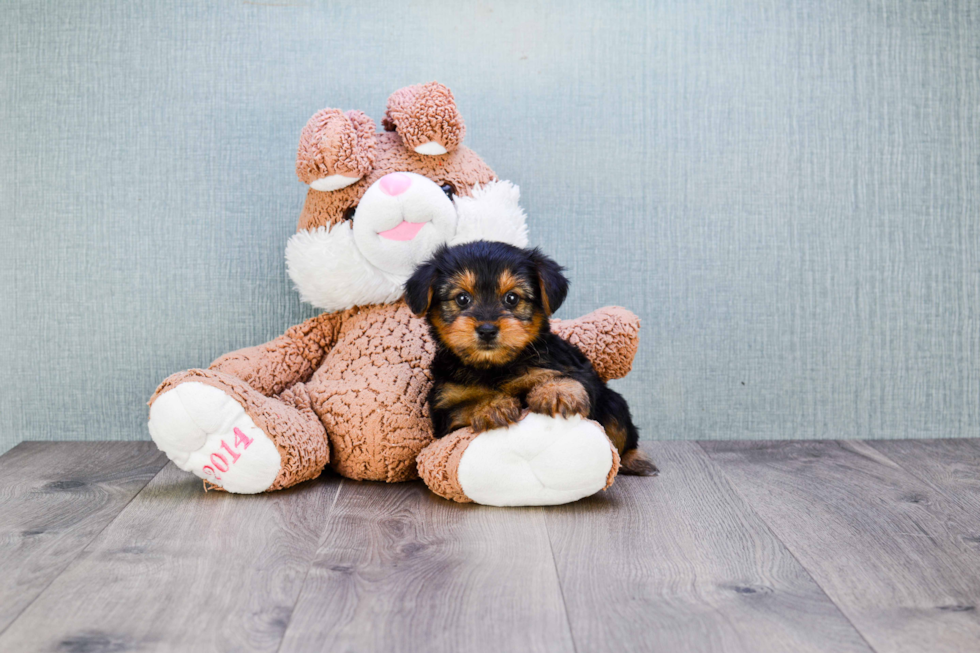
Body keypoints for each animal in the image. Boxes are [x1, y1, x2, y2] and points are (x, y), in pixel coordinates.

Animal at [406, 239, 660, 474]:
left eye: (512, 298)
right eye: (461, 299)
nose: (487, 329)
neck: (494, 366)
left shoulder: (572, 369)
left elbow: (574, 380)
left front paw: (556, 391)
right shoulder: (443, 408)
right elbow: (461, 408)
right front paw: (490, 406)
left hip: (614, 404)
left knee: (621, 433)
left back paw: (635, 460)